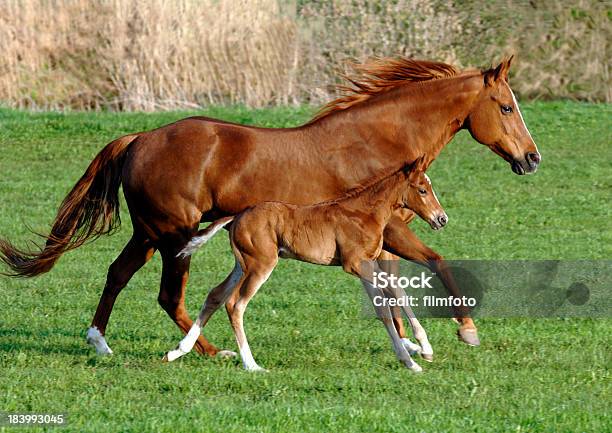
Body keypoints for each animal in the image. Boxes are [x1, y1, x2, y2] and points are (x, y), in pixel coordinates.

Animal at [165, 155, 448, 372]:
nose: (441, 219)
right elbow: (398, 290)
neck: (365, 212)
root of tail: (238, 216)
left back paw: (177, 351)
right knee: (235, 304)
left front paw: (410, 360)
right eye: (422, 189)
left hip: (242, 264)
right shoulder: (355, 264)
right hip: (261, 265)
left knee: (215, 295)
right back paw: (252, 365)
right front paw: (424, 348)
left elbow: (384, 308)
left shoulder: (366, 265)